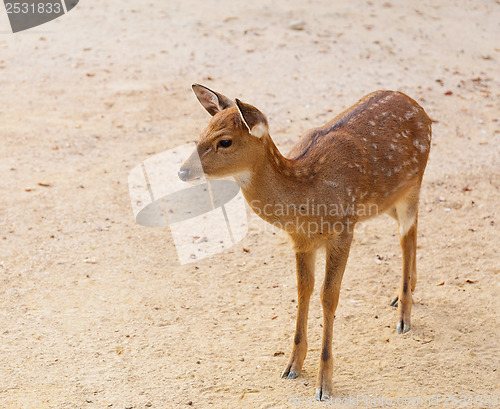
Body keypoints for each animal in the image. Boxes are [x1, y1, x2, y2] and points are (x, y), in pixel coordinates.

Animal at [178, 84, 431, 401]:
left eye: (224, 141)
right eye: (201, 132)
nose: (183, 171)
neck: (305, 196)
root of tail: (420, 108)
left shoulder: (343, 230)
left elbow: (328, 296)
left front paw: (324, 384)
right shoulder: (301, 241)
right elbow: (303, 291)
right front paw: (291, 366)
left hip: (414, 181)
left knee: (407, 236)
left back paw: (404, 316)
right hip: (387, 200)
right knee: (411, 228)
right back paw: (402, 293)